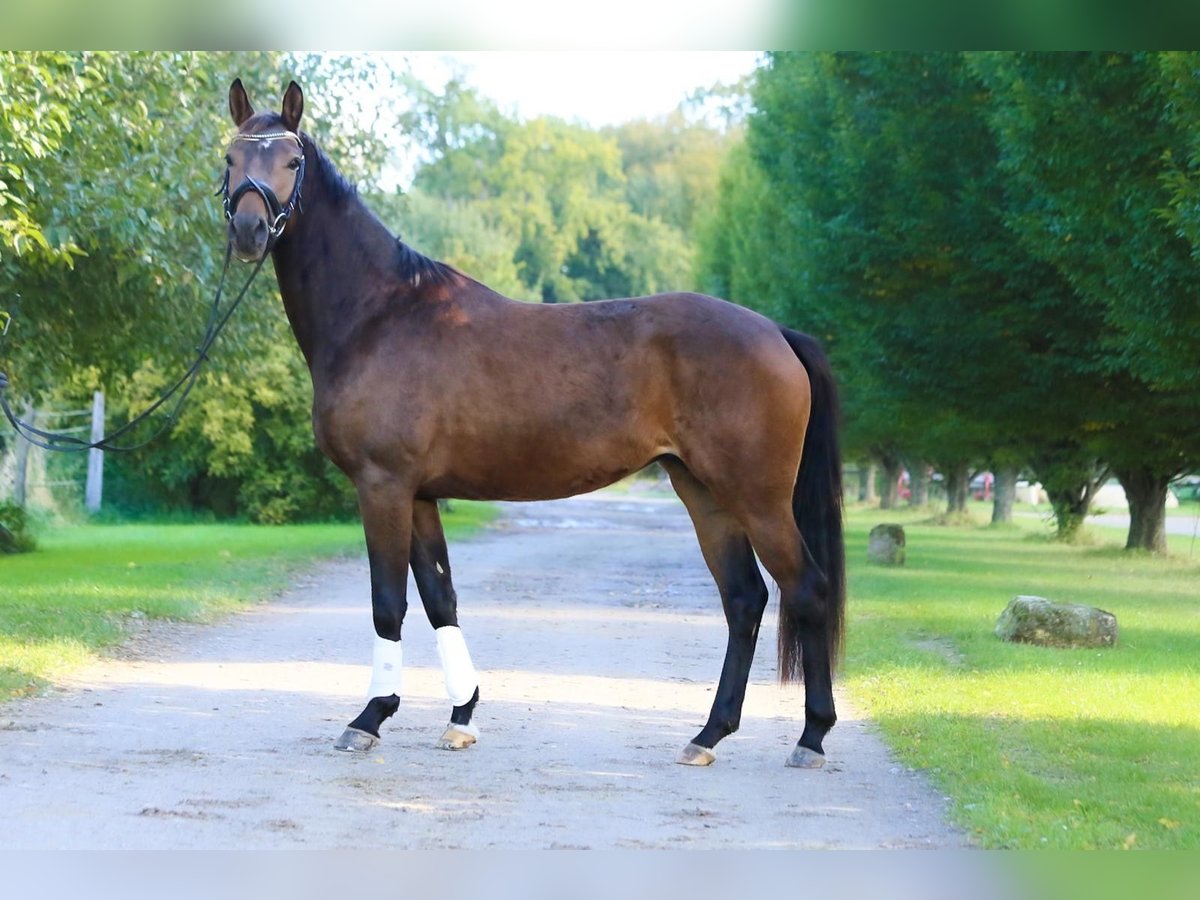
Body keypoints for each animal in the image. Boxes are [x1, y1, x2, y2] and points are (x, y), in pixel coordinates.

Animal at [223, 79, 844, 768]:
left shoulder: (382, 486)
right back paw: (708, 734)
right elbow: (440, 598)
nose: (249, 229)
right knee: (744, 600)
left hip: (757, 497)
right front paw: (461, 715)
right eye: (230, 157)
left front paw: (370, 717)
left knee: (805, 590)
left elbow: (390, 604)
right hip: (703, 491)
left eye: (292, 161)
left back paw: (811, 737)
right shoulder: (419, 495)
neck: (380, 315)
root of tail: (776, 333)